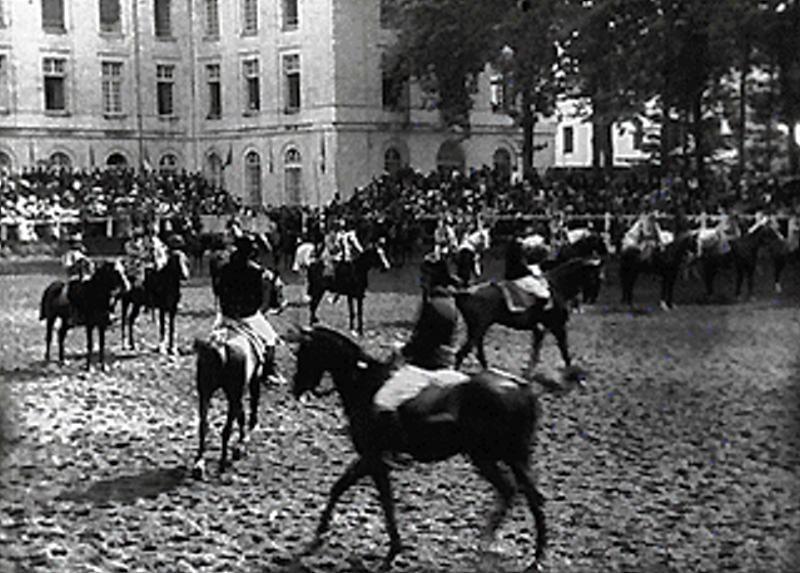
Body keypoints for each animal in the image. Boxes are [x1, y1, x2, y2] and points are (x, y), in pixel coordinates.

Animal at [288, 325, 585, 570]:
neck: (366, 384)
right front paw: (320, 533)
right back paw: (488, 541)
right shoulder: (370, 458)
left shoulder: (374, 459)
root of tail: (524, 387)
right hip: (485, 456)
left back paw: (536, 558)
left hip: (511, 457)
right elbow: (339, 487)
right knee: (509, 490)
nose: (296, 389)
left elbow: (385, 504)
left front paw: (392, 551)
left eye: (303, 353)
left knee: (533, 498)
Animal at [450, 256, 603, 373]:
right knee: (461, 354)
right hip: (478, 329)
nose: (592, 297)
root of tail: (464, 293)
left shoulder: (540, 330)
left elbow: (536, 352)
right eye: (595, 275)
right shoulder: (558, 327)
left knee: (477, 352)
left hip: (478, 330)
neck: (557, 286)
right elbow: (564, 350)